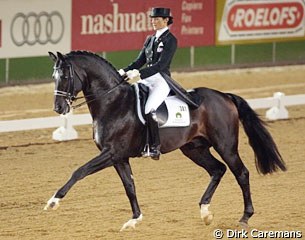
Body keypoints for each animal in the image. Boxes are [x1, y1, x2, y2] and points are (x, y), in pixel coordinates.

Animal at [44, 50, 284, 231]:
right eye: (53, 77)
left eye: (65, 77)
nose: (58, 108)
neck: (113, 103)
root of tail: (224, 96)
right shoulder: (118, 157)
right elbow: (129, 185)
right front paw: (134, 220)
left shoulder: (111, 153)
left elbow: (79, 171)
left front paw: (53, 201)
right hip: (194, 148)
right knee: (218, 169)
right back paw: (205, 212)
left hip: (225, 146)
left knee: (241, 173)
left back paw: (244, 217)